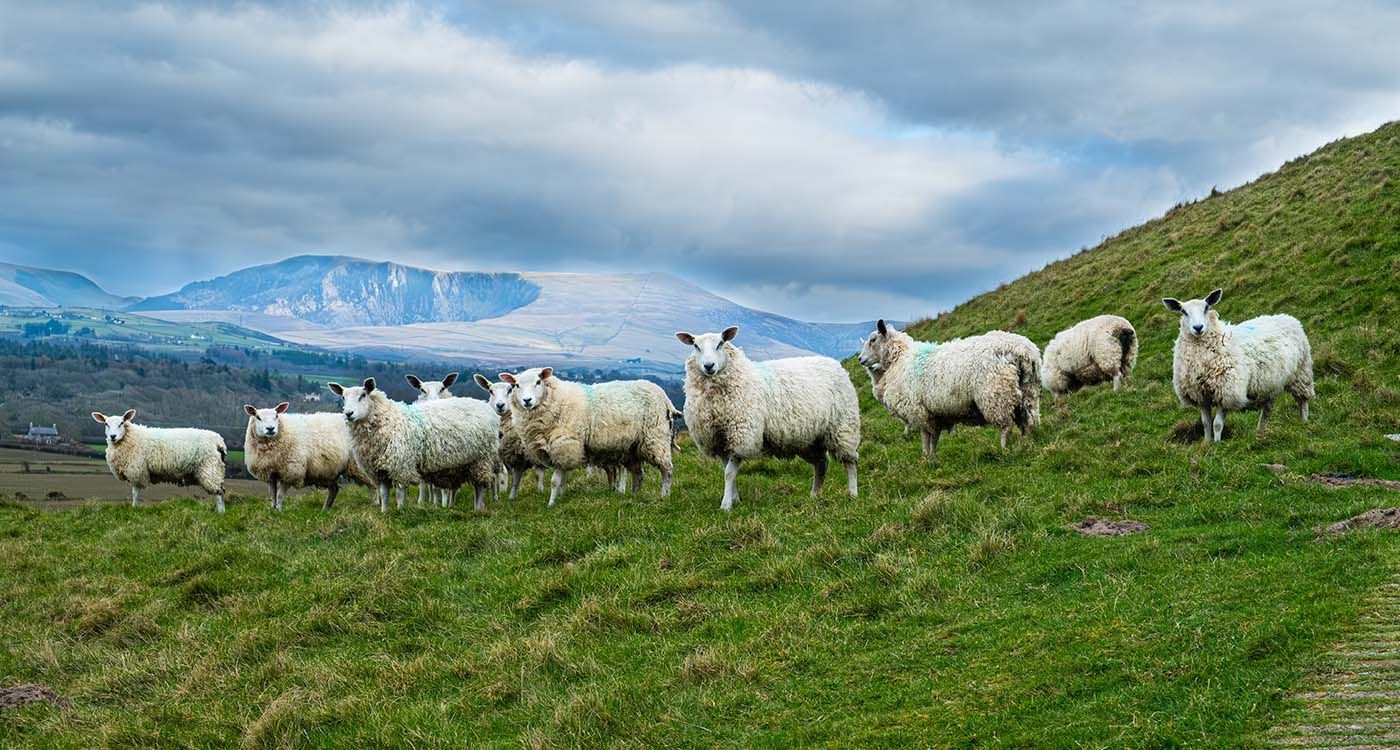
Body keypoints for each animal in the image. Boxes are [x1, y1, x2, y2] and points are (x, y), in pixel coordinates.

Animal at [91, 410, 227, 512]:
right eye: (106, 424)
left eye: (121, 423)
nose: (112, 436)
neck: (131, 437)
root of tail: (219, 441)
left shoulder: (137, 470)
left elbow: (135, 493)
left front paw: (134, 509)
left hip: (210, 467)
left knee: (219, 492)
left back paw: (220, 513)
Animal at [498, 368, 675, 507]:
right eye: (516, 385)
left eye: (538, 382)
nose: (527, 400)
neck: (556, 400)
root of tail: (664, 396)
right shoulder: (561, 449)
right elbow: (562, 479)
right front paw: (559, 498)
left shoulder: (564, 445)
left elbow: (555, 481)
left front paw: (551, 504)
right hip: (632, 448)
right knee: (638, 474)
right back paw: (634, 496)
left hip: (655, 438)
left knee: (667, 469)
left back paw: (664, 495)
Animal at [676, 326, 860, 511]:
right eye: (696, 346)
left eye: (720, 343)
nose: (709, 366)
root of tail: (835, 364)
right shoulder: (719, 441)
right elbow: (727, 472)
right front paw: (735, 499)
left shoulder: (742, 437)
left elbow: (729, 473)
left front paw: (726, 505)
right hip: (809, 439)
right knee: (822, 463)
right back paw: (815, 494)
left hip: (843, 427)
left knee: (849, 461)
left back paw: (852, 493)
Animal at [857, 320, 1039, 458]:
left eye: (873, 340)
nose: (860, 359)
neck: (899, 359)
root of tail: (1022, 351)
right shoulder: (934, 413)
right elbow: (934, 437)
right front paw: (932, 457)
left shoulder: (918, 410)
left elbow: (926, 436)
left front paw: (925, 457)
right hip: (1029, 391)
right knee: (1028, 421)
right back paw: (1025, 444)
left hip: (996, 394)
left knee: (1006, 426)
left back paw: (1004, 450)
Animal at [1162, 289, 1314, 443]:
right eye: (1183, 311)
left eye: (1206, 308)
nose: (1198, 328)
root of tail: (1288, 317)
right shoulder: (1201, 395)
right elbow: (1205, 423)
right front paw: (1206, 443)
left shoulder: (1227, 391)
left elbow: (1217, 424)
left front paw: (1217, 443)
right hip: (1270, 382)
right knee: (1268, 408)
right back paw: (1260, 431)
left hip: (1301, 372)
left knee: (1302, 400)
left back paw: (1304, 422)